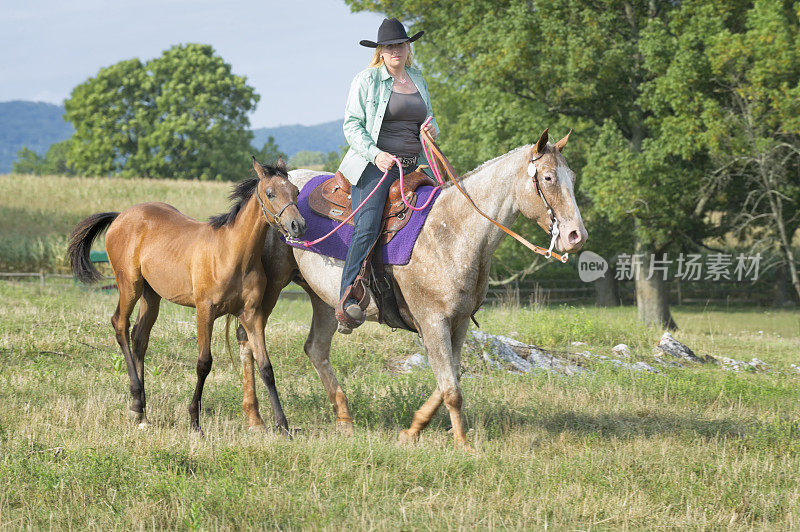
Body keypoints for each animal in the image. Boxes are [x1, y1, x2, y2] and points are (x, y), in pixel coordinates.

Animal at [68, 158, 306, 432]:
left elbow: (266, 366)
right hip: (129, 284)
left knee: (139, 338)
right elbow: (204, 363)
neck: (233, 254)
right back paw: (136, 402)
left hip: (151, 294)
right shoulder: (205, 311)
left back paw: (142, 413)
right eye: (270, 193)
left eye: (296, 192)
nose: (298, 225)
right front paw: (194, 421)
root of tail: (121, 216)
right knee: (120, 325)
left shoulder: (252, 314)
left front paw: (283, 426)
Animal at [238, 130, 588, 448]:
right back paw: (256, 420)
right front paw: (463, 445)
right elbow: (452, 390)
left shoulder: (458, 324)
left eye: (571, 177)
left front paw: (413, 430)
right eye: (548, 177)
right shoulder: (433, 323)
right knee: (249, 339)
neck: (452, 231)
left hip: (323, 299)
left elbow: (450, 379)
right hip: (269, 289)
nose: (576, 235)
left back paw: (344, 420)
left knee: (315, 348)